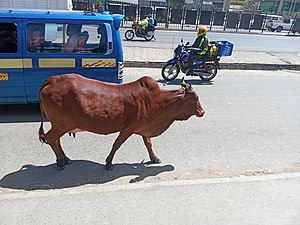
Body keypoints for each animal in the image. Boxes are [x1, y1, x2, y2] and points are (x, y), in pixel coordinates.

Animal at [38, 74, 205, 171]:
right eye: (196, 98)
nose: (202, 112)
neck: (157, 100)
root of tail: (51, 80)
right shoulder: (129, 128)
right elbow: (117, 144)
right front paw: (109, 163)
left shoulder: (143, 126)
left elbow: (148, 143)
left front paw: (154, 158)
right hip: (61, 124)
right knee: (51, 138)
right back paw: (61, 162)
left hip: (60, 125)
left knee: (56, 139)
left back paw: (65, 159)